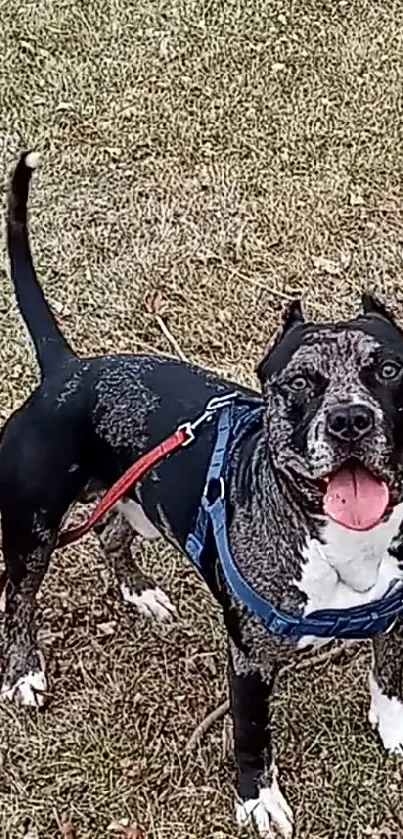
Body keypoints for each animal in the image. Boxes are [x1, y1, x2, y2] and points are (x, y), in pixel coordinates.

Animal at [2, 153, 403, 839]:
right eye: (300, 382)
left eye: (390, 370)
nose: (351, 419)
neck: (346, 542)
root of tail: (67, 369)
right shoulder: (249, 662)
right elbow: (252, 736)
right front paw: (258, 801)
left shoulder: (397, 615)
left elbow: (390, 673)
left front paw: (395, 726)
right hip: (32, 529)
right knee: (19, 597)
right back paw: (24, 671)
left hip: (134, 500)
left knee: (111, 533)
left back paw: (141, 593)